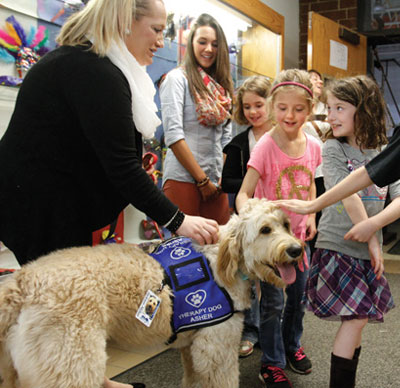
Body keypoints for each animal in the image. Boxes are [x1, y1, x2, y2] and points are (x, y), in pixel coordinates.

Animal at [0, 199, 304, 386]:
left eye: (286, 225)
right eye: (265, 229)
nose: (296, 249)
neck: (220, 259)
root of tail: (22, 281)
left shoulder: (192, 349)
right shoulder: (216, 351)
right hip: (71, 368)